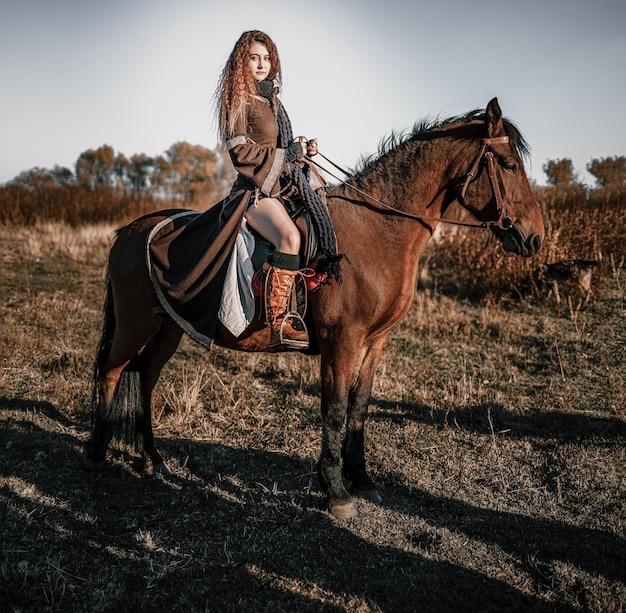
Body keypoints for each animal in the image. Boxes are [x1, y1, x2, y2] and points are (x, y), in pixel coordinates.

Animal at [83, 99, 540, 516]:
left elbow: (359, 408)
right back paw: (96, 453)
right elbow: (335, 410)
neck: (378, 231)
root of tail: (131, 230)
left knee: (144, 379)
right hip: (136, 325)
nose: (534, 238)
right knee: (111, 372)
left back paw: (151, 459)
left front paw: (362, 480)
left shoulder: (375, 342)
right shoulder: (342, 341)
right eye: (508, 165)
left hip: (169, 328)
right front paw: (336, 491)